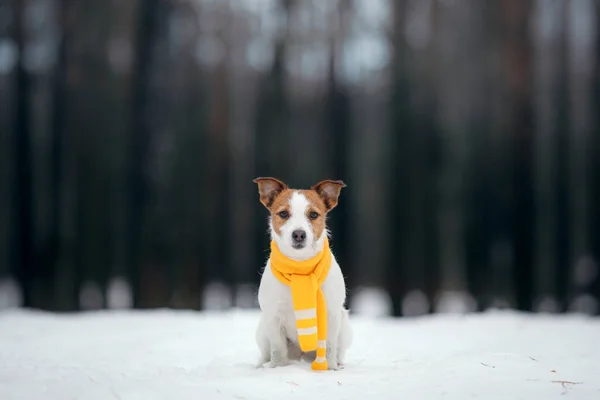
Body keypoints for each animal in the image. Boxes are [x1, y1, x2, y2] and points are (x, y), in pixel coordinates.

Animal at [252, 177, 352, 370]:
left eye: (313, 215)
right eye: (284, 214)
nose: (299, 234)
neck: (300, 266)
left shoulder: (331, 314)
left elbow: (329, 345)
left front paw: (329, 367)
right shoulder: (273, 316)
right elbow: (277, 348)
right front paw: (277, 367)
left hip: (344, 324)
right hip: (262, 328)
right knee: (266, 352)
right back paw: (263, 364)